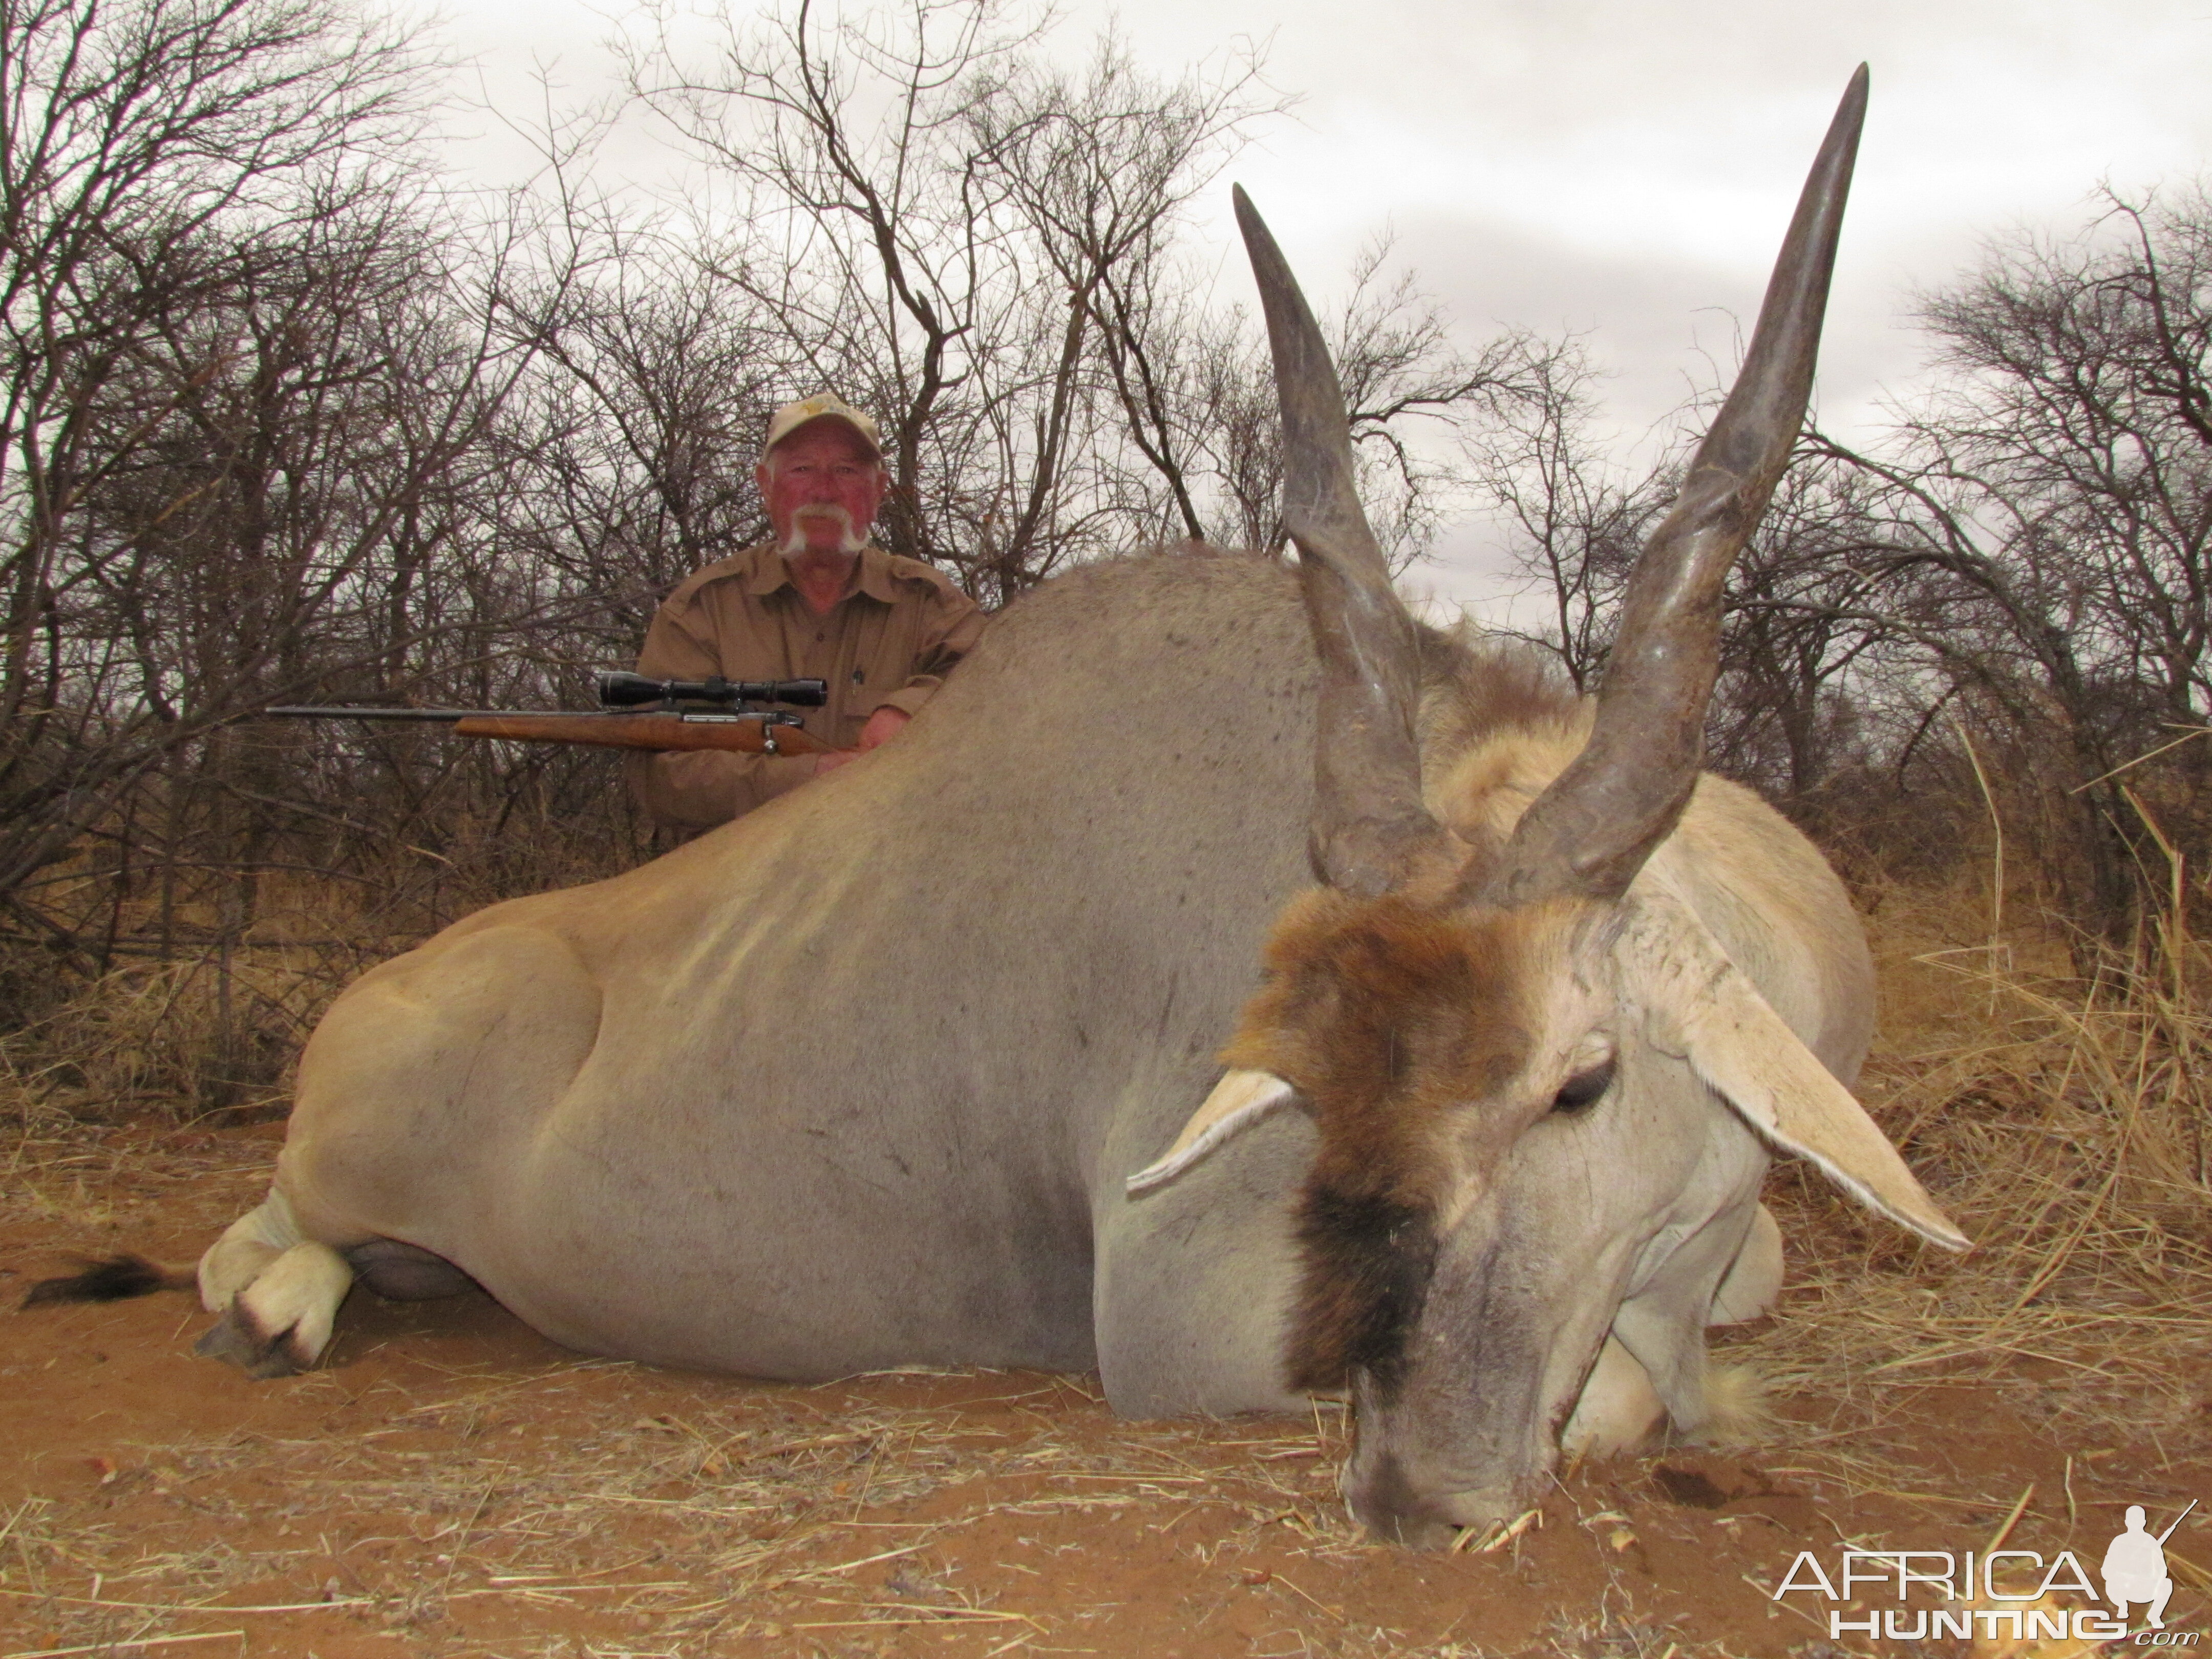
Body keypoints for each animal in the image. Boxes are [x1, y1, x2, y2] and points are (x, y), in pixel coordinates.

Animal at [39, 65, 1973, 1548]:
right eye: (1335, 1088)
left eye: (1580, 1082)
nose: (1419, 1500)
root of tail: (389, 987)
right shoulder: (1194, 1324)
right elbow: (1633, 1389)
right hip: (339, 1156)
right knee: (254, 1229)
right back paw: (276, 1312)